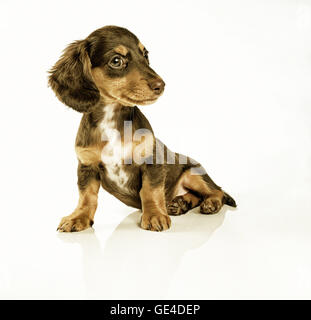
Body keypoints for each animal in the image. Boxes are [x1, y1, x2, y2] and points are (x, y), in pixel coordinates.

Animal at [48, 25, 236, 232]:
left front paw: (154, 215)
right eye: (116, 61)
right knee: (196, 196)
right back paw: (181, 203)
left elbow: (150, 191)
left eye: (145, 55)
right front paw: (78, 217)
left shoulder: (151, 161)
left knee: (216, 191)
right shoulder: (87, 166)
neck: (112, 118)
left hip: (194, 173)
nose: (161, 85)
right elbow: (86, 196)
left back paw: (210, 203)